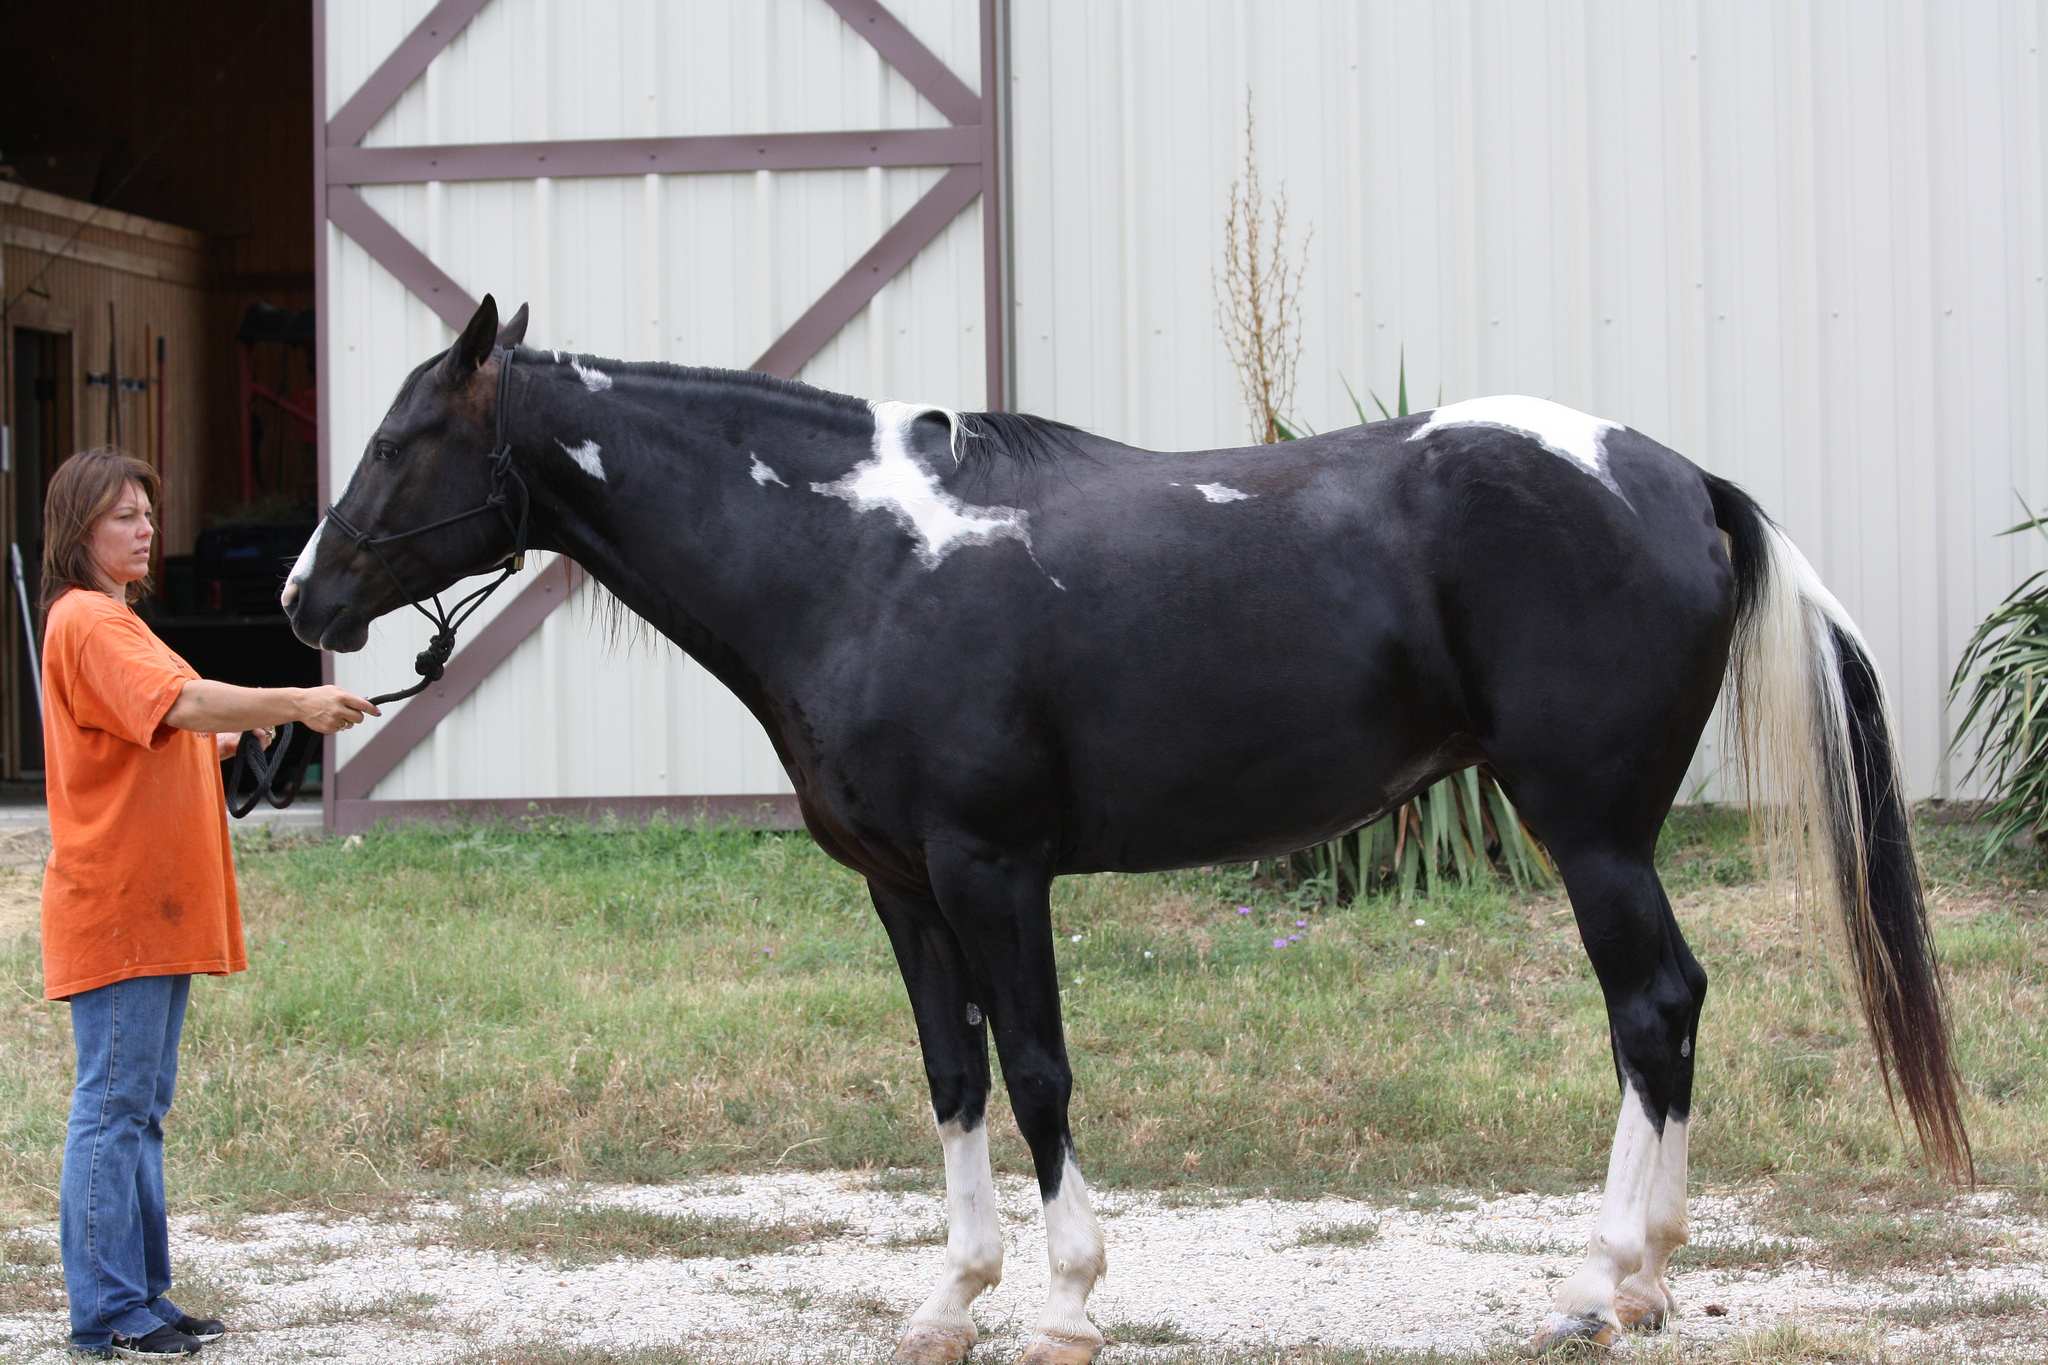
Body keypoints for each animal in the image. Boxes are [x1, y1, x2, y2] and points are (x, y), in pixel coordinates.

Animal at [284, 295, 1967, 1363]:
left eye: (406, 436)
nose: (303, 598)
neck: (860, 560)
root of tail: (1676, 478)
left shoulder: (993, 870)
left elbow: (1037, 1073)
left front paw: (1068, 1305)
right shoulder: (903, 889)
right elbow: (954, 1076)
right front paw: (949, 1302)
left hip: (1592, 826)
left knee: (1656, 1006)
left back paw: (1610, 1283)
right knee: (1650, 1015)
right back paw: (1630, 1287)